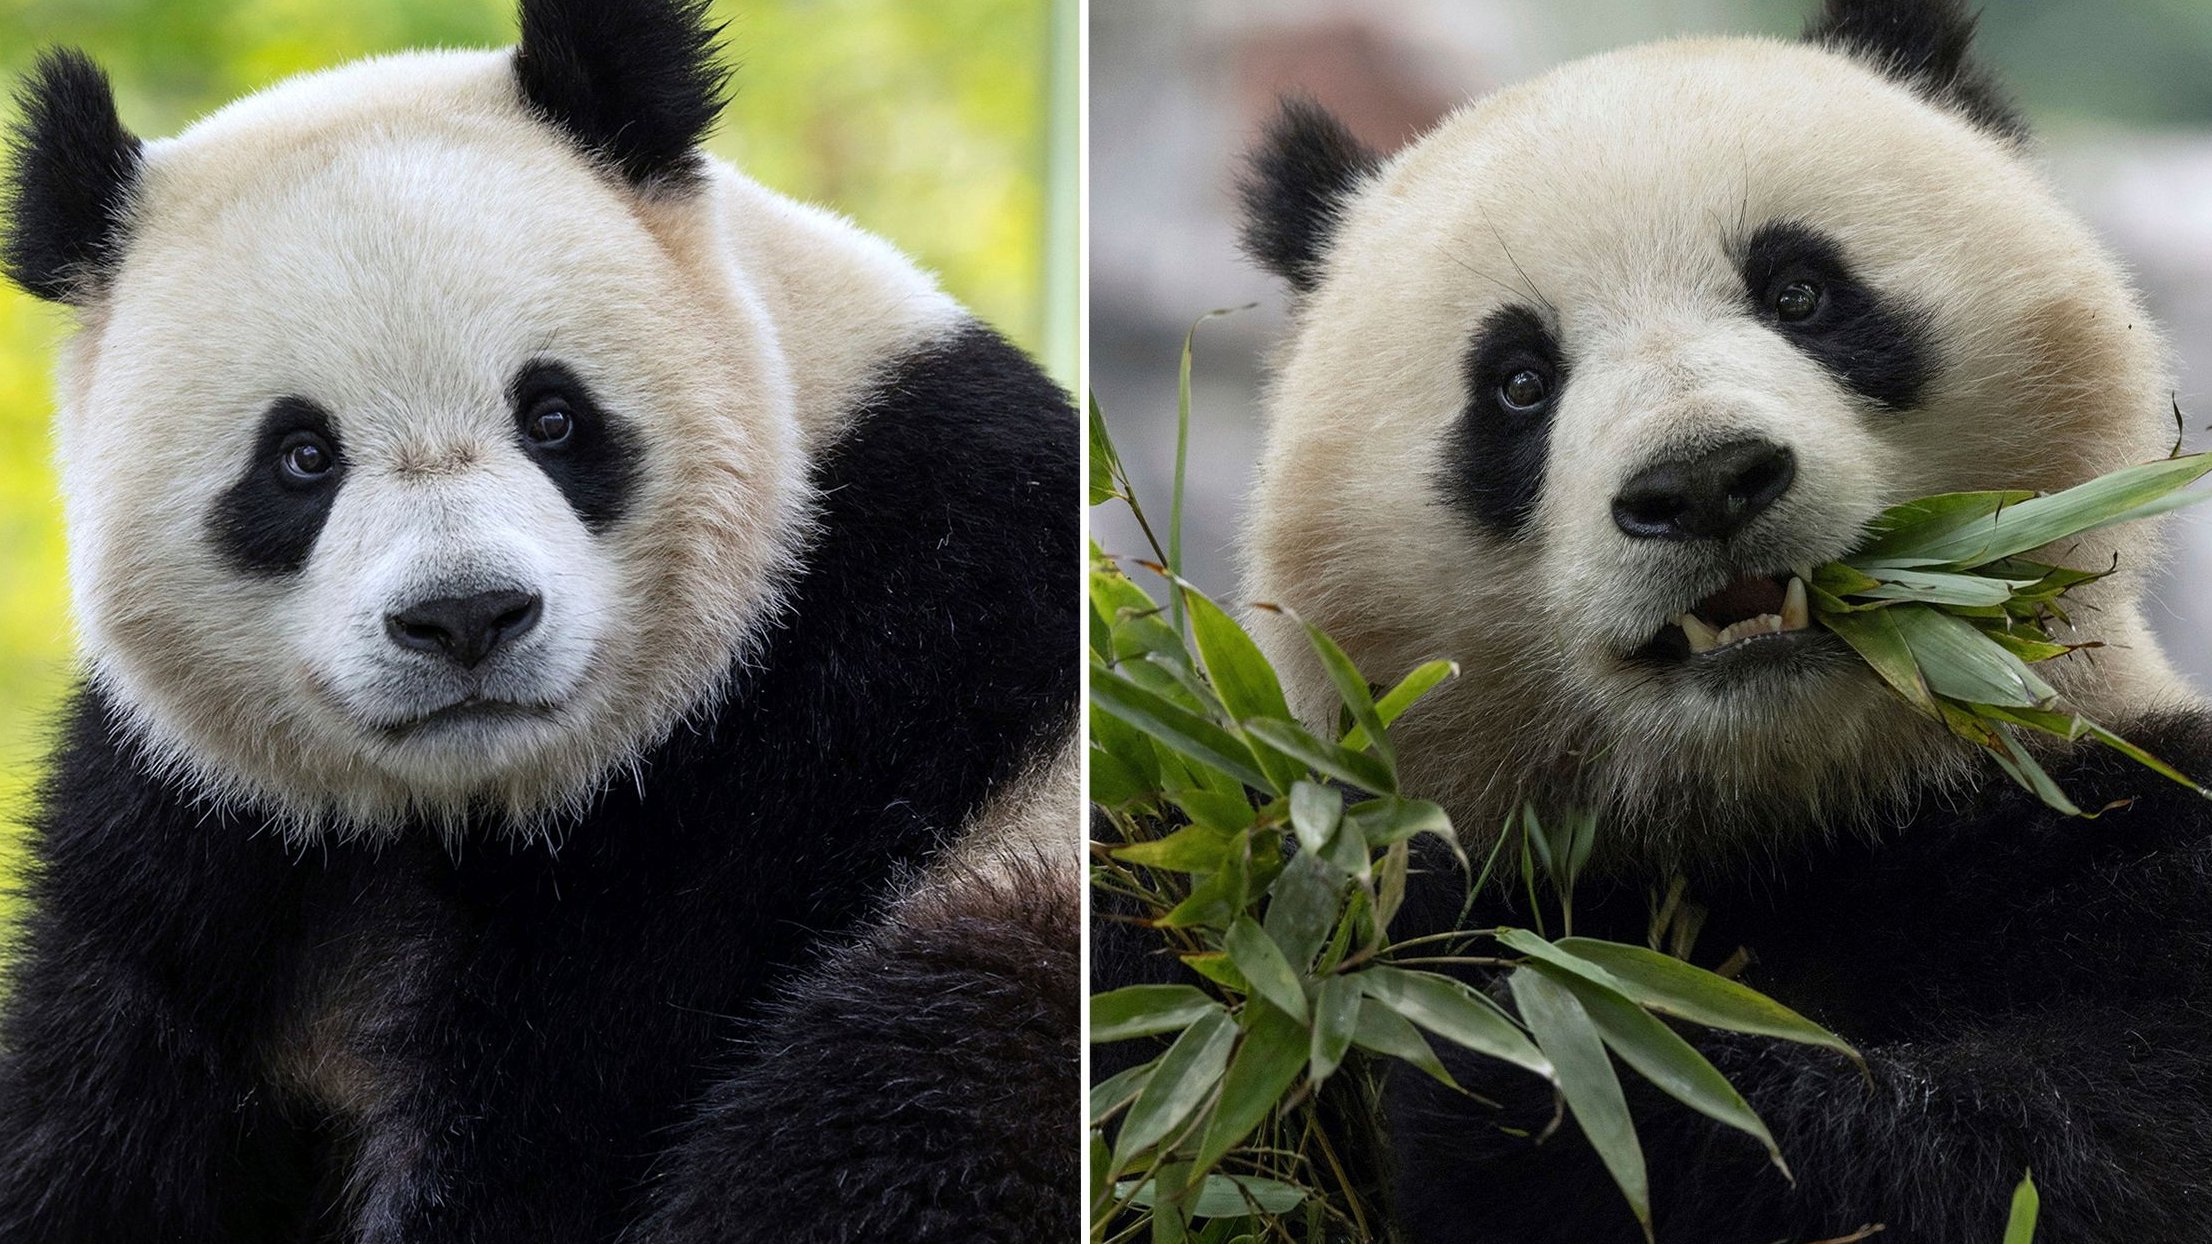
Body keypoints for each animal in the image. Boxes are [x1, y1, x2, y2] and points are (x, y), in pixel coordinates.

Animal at [0, 0, 1077, 1240]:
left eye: (554, 415)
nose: (465, 615)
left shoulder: (821, 727)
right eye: (301, 456)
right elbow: (102, 1107)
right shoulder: (201, 824)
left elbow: (554, 1112)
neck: (463, 805)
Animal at [1232, 1, 2212, 1240]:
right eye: (1516, 380)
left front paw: (1537, 1067)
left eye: (1799, 292)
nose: (1701, 481)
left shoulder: (2114, 826)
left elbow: (2068, 1157)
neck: (1771, 812)